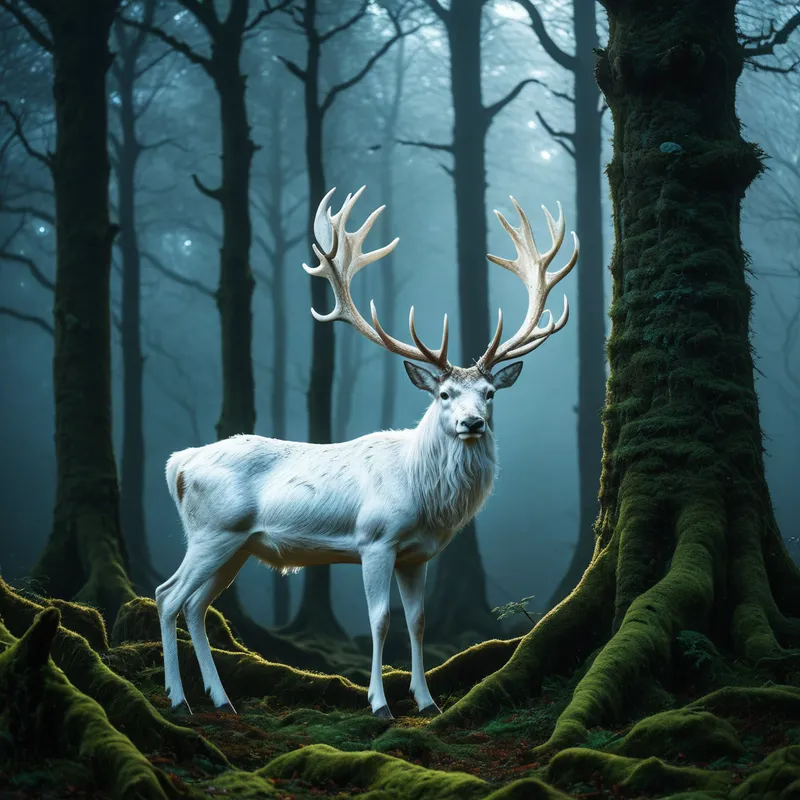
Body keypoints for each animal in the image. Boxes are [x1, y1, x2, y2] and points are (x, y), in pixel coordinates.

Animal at [155, 186, 578, 719]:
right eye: (444, 394)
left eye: (489, 393)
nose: (473, 423)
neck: (425, 497)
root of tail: (177, 463)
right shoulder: (374, 540)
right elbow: (380, 620)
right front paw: (379, 704)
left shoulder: (417, 555)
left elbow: (418, 621)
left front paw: (426, 701)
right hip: (212, 532)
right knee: (167, 596)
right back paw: (179, 700)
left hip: (237, 544)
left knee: (196, 605)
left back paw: (221, 699)